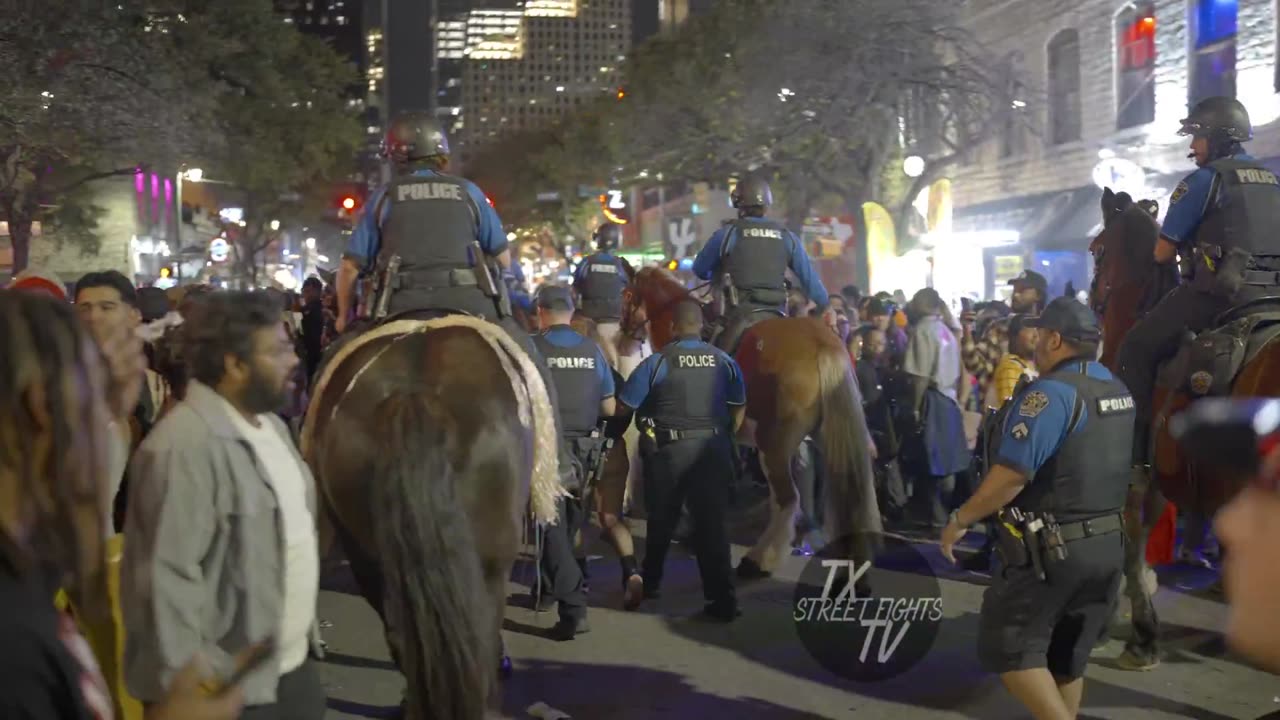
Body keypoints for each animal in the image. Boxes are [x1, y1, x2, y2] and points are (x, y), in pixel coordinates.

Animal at [616, 266, 880, 573]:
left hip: (773, 444)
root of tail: (820, 343)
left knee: (787, 499)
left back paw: (761, 559)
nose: (622, 337)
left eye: (627, 294)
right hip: (827, 436)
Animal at [1090, 184, 1280, 666]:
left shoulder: (1129, 480)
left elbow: (1130, 547)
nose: (1088, 302)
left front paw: (1140, 633)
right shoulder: (1157, 478)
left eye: (1096, 250)